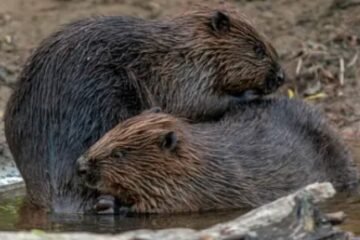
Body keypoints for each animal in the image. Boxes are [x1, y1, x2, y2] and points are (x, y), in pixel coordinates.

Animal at [2, 6, 284, 213]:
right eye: (257, 50)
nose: (281, 77)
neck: (186, 46)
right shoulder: (182, 73)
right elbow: (195, 103)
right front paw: (251, 95)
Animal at [77, 98, 358, 215]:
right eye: (107, 134)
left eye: (119, 153)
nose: (80, 166)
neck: (202, 158)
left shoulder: (196, 189)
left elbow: (160, 206)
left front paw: (107, 204)